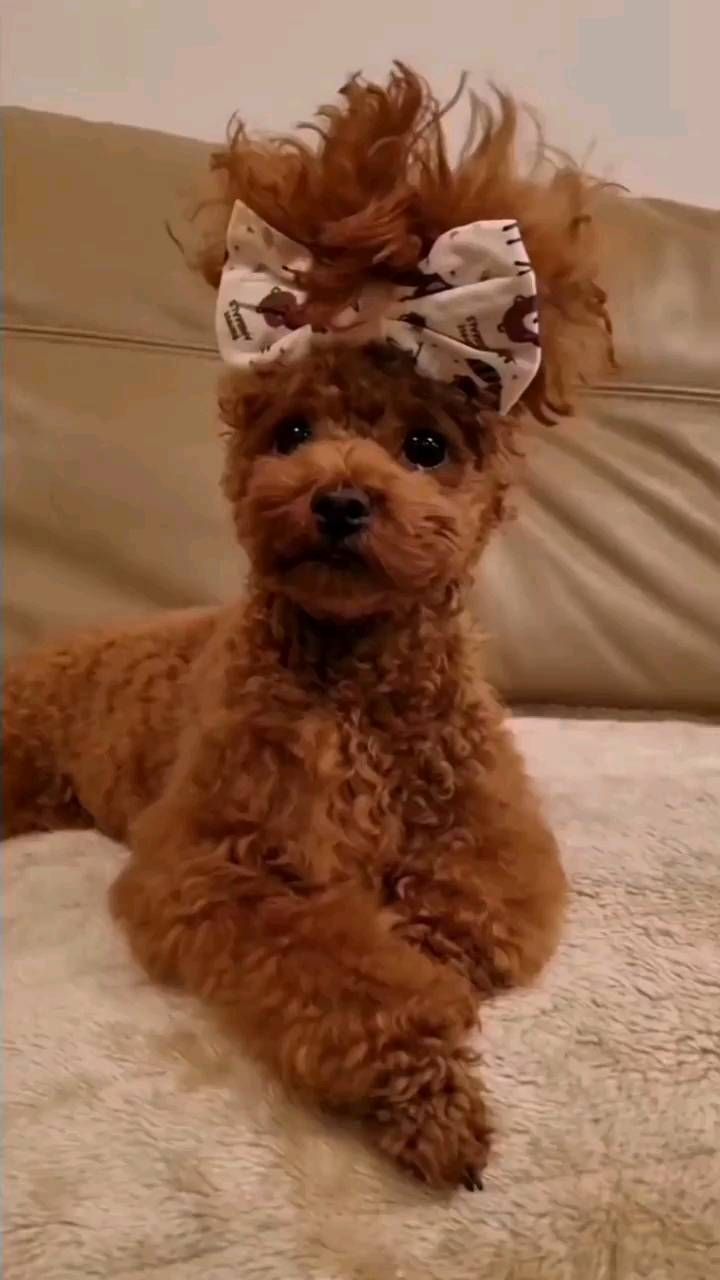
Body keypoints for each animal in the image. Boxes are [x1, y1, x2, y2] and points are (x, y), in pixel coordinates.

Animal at [4, 70, 609, 1187]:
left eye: (427, 447)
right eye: (291, 432)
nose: (339, 501)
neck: (355, 667)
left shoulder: (494, 842)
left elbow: (458, 923)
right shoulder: (210, 863)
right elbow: (340, 962)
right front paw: (425, 1080)